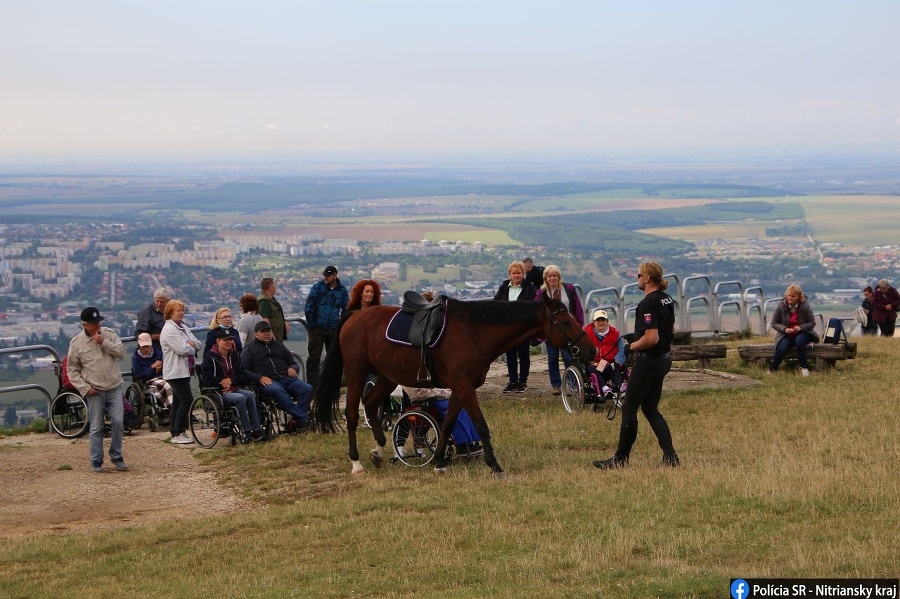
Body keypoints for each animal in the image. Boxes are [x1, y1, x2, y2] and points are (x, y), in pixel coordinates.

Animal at [312, 296, 596, 478]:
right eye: (566, 322)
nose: (591, 350)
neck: (475, 333)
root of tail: (355, 315)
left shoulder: (460, 389)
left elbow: (448, 424)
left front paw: (438, 461)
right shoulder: (464, 387)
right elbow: (481, 424)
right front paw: (494, 466)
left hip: (387, 376)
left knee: (372, 405)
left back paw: (379, 452)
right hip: (357, 373)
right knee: (352, 414)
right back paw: (356, 463)